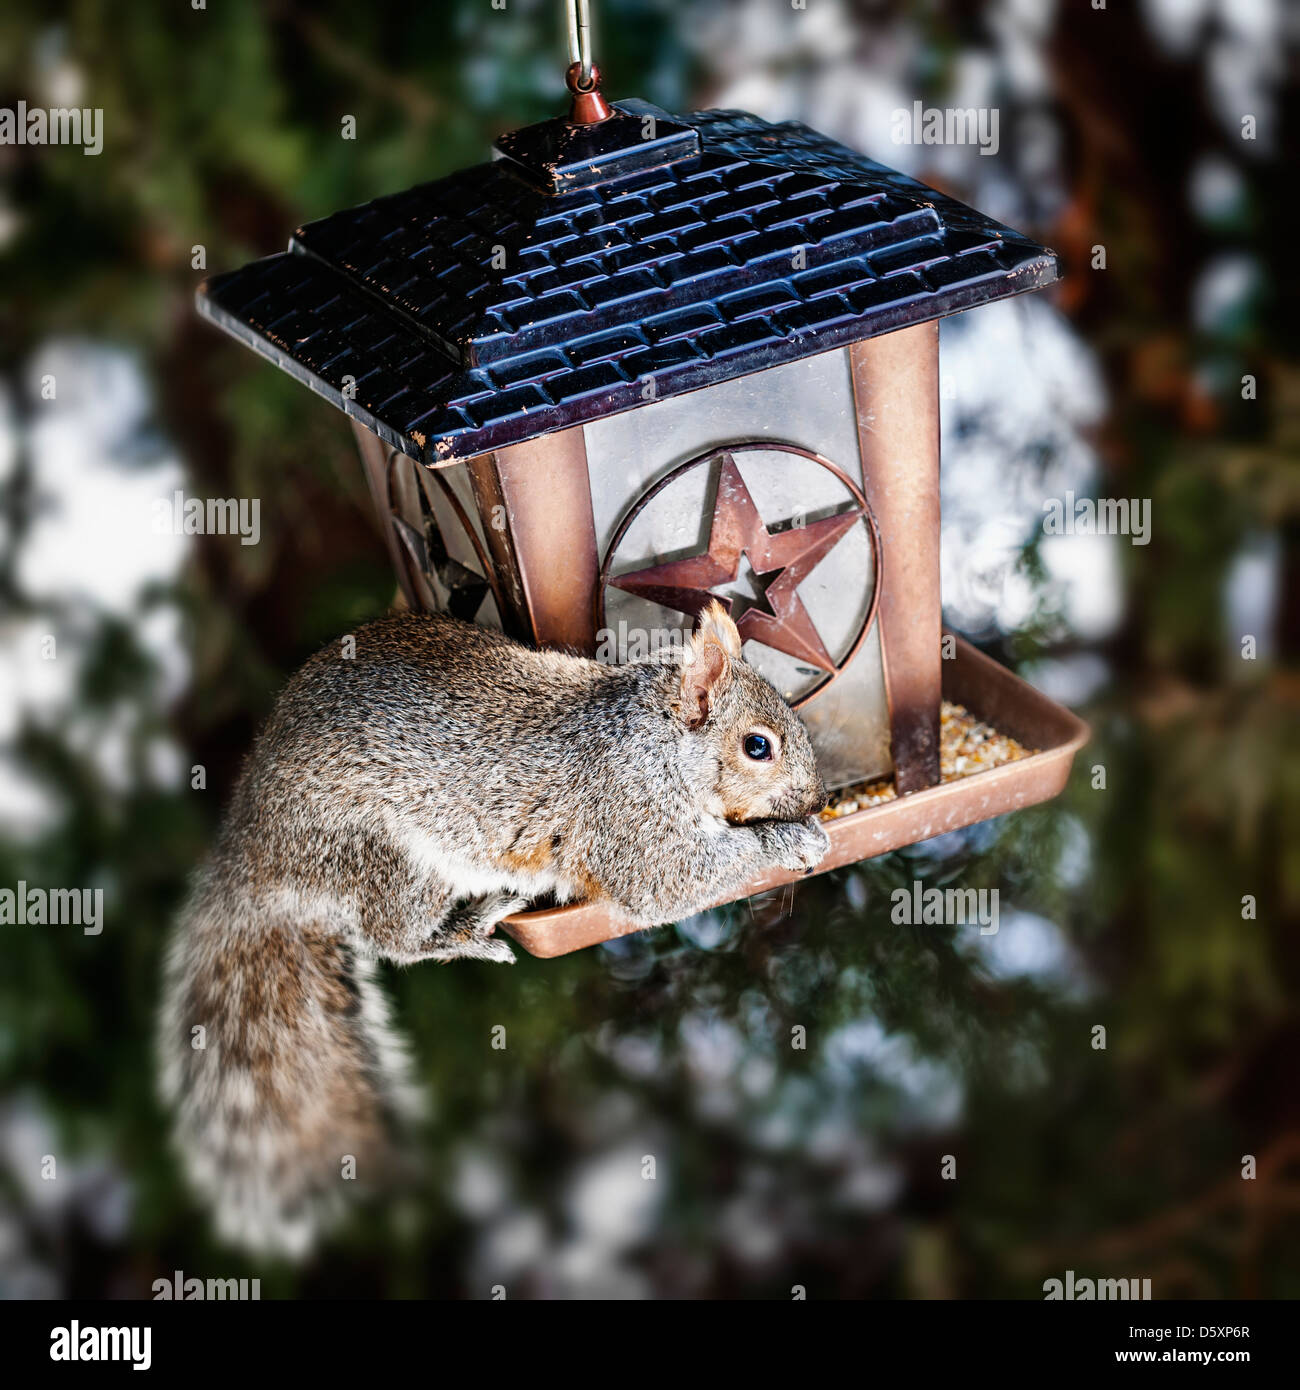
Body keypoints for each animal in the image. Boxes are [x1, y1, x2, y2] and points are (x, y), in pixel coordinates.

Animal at [157, 600, 828, 1262]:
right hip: (386, 859)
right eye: (758, 746)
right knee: (394, 938)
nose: (819, 796)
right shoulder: (628, 813)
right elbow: (670, 879)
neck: (653, 736)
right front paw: (789, 840)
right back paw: (468, 930)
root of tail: (254, 851)